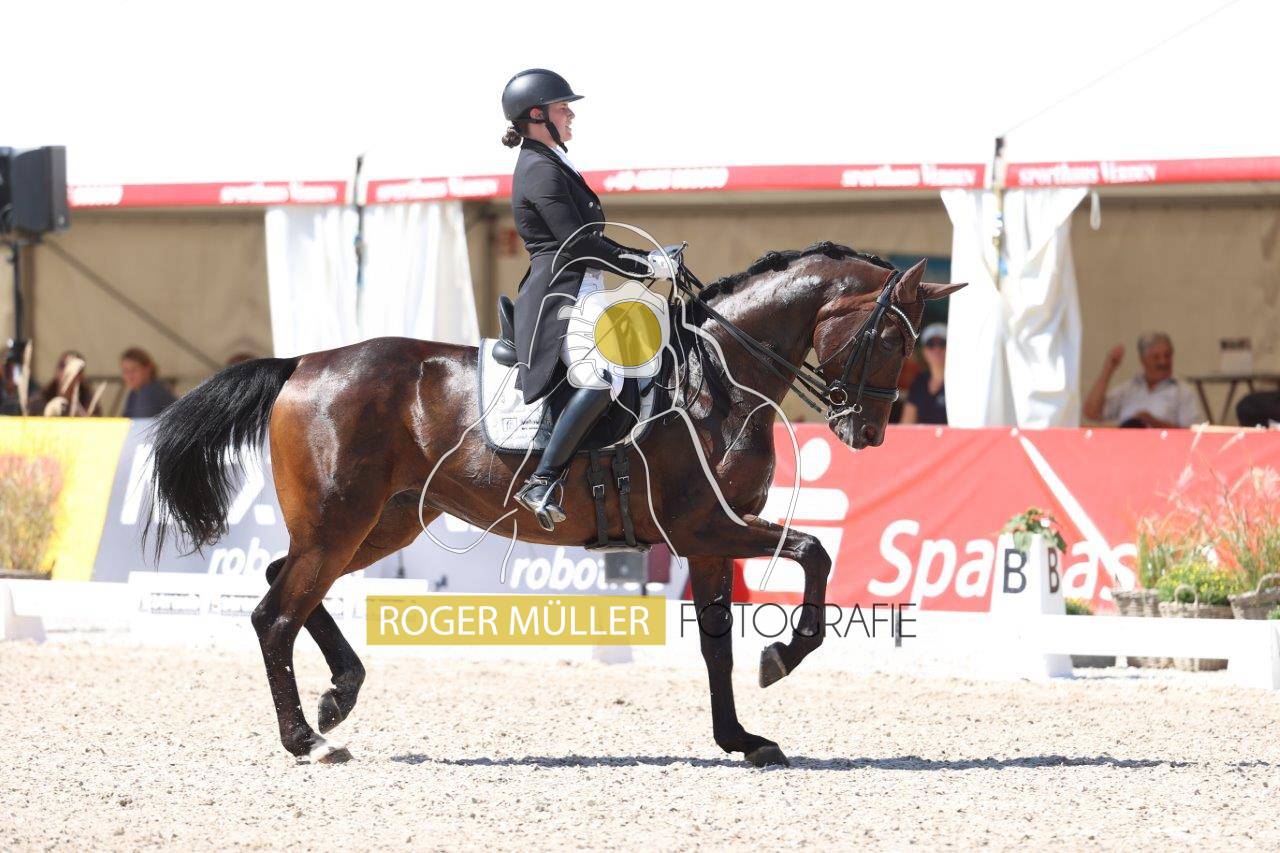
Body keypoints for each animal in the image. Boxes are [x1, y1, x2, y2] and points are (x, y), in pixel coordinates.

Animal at [146, 241, 964, 768]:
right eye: (890, 338)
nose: (867, 432)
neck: (719, 375)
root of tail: (302, 364)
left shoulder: (706, 541)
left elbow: (715, 644)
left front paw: (741, 738)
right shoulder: (707, 525)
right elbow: (813, 554)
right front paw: (782, 657)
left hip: (385, 520)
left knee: (286, 585)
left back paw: (338, 696)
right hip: (341, 521)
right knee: (274, 613)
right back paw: (309, 740)